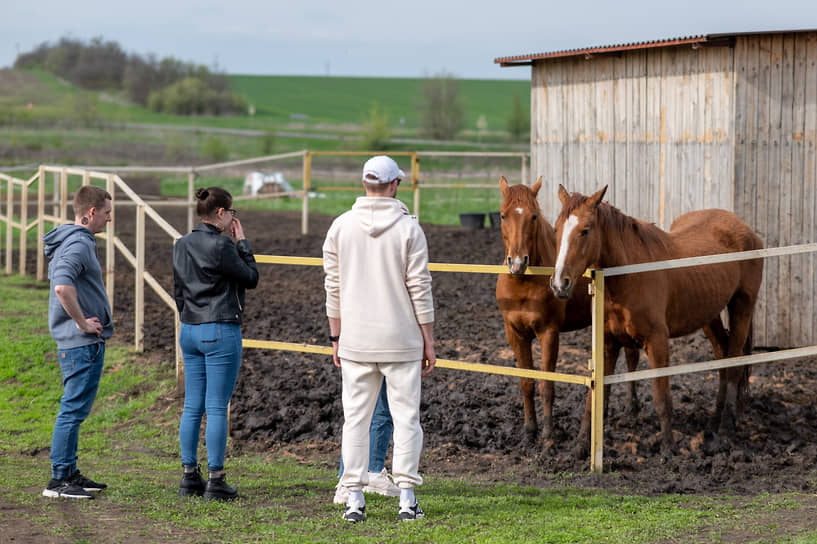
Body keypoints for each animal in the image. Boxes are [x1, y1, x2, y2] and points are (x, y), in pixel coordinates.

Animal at [494, 176, 640, 448]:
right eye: (502, 215)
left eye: (533, 216)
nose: (517, 262)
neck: (524, 283)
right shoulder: (515, 334)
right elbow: (526, 382)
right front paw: (529, 432)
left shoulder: (549, 333)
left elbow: (546, 384)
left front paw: (548, 436)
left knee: (632, 357)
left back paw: (631, 408)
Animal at [552, 186, 760, 454]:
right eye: (556, 229)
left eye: (585, 230)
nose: (559, 284)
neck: (629, 275)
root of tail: (747, 230)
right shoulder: (608, 345)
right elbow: (595, 398)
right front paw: (579, 447)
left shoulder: (658, 342)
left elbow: (662, 399)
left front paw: (668, 448)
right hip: (709, 315)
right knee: (722, 356)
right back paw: (714, 423)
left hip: (742, 308)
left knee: (734, 362)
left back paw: (725, 430)